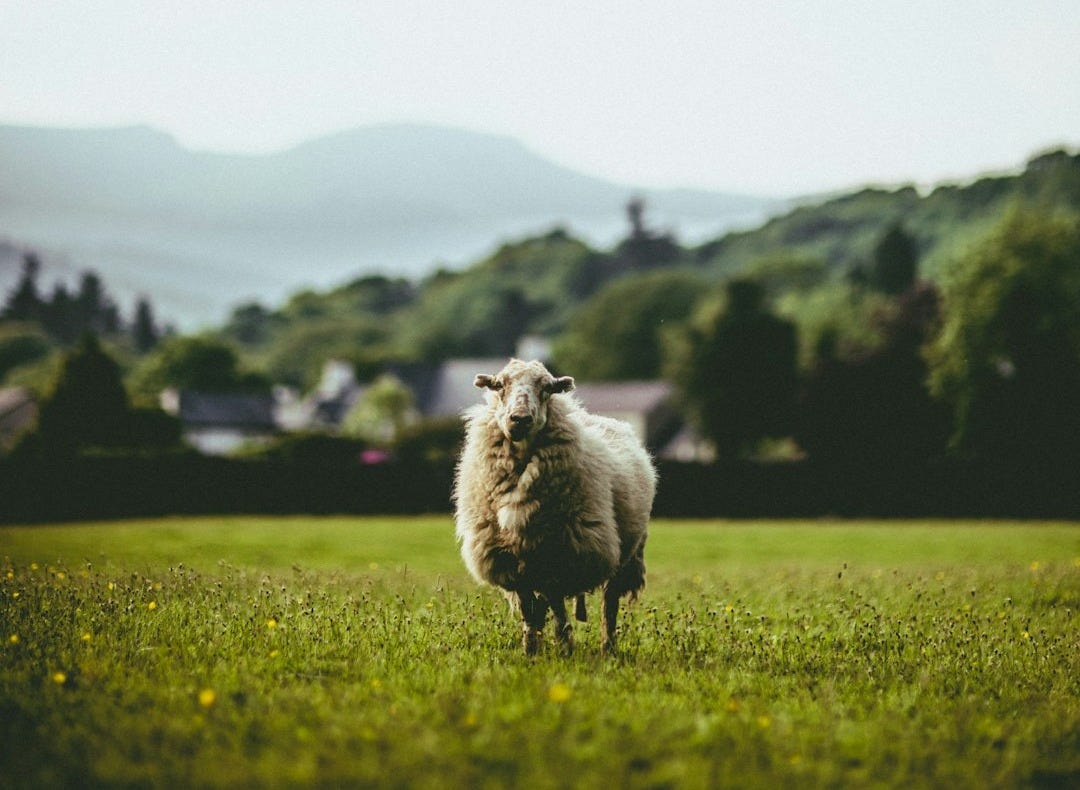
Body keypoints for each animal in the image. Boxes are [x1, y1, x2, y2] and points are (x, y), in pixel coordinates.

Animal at [451, 360, 652, 657]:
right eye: (499, 385)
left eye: (546, 388)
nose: (520, 419)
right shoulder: (511, 559)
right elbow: (528, 606)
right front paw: (531, 648)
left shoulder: (561, 553)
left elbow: (555, 602)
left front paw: (563, 642)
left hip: (626, 556)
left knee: (609, 605)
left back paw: (608, 647)